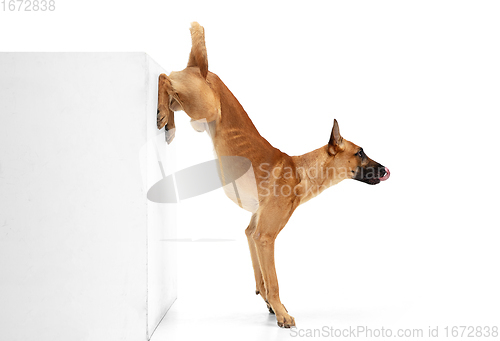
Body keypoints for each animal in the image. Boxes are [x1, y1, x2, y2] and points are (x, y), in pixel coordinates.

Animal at [157, 21, 390, 326]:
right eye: (360, 152)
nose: (386, 169)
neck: (301, 170)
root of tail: (200, 68)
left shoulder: (253, 230)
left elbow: (262, 277)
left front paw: (270, 304)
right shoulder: (266, 237)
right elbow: (275, 281)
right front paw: (282, 313)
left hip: (191, 106)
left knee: (171, 89)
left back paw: (169, 122)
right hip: (202, 106)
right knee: (163, 77)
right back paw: (162, 112)